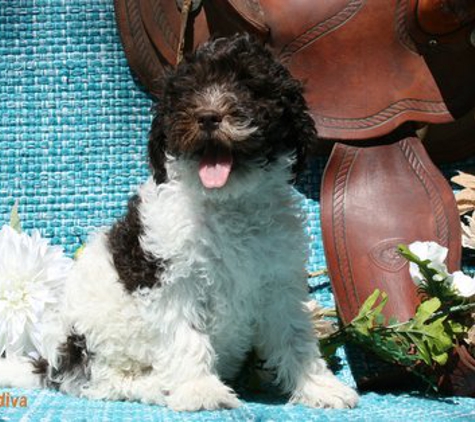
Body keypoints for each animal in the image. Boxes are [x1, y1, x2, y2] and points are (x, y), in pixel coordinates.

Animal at [0, 34, 356, 410]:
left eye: (249, 87)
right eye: (187, 94)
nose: (208, 116)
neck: (227, 202)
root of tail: (49, 366)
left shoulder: (279, 282)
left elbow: (295, 336)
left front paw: (318, 386)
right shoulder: (172, 281)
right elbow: (186, 336)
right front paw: (201, 390)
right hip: (95, 344)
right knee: (103, 382)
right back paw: (155, 386)